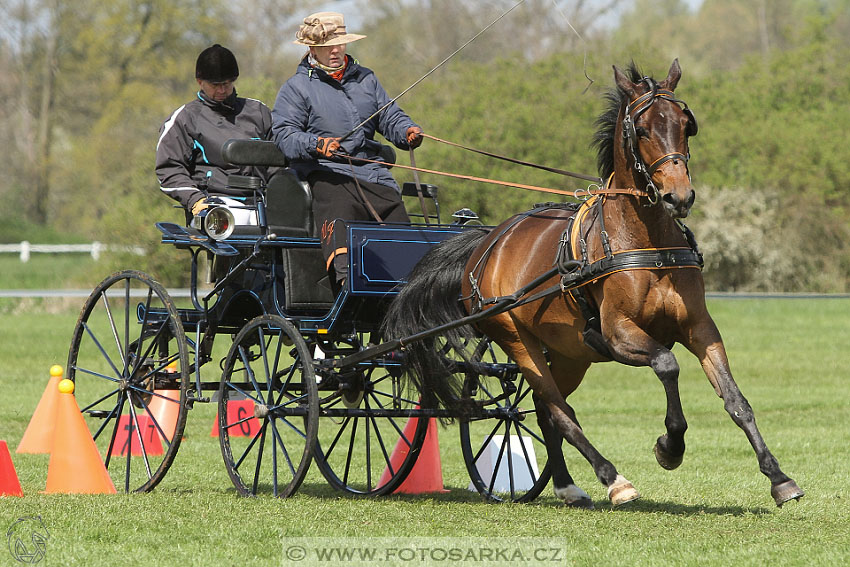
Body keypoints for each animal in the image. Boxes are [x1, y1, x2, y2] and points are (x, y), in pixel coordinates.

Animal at [384, 60, 800, 508]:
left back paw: (568, 485)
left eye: (686, 125)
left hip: (569, 353)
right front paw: (669, 447)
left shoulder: (699, 328)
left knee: (543, 407)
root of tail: (486, 243)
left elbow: (735, 400)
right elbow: (667, 364)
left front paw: (779, 478)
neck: (646, 242)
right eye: (642, 130)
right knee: (558, 410)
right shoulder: (617, 334)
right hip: (519, 342)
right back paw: (613, 479)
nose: (679, 197)